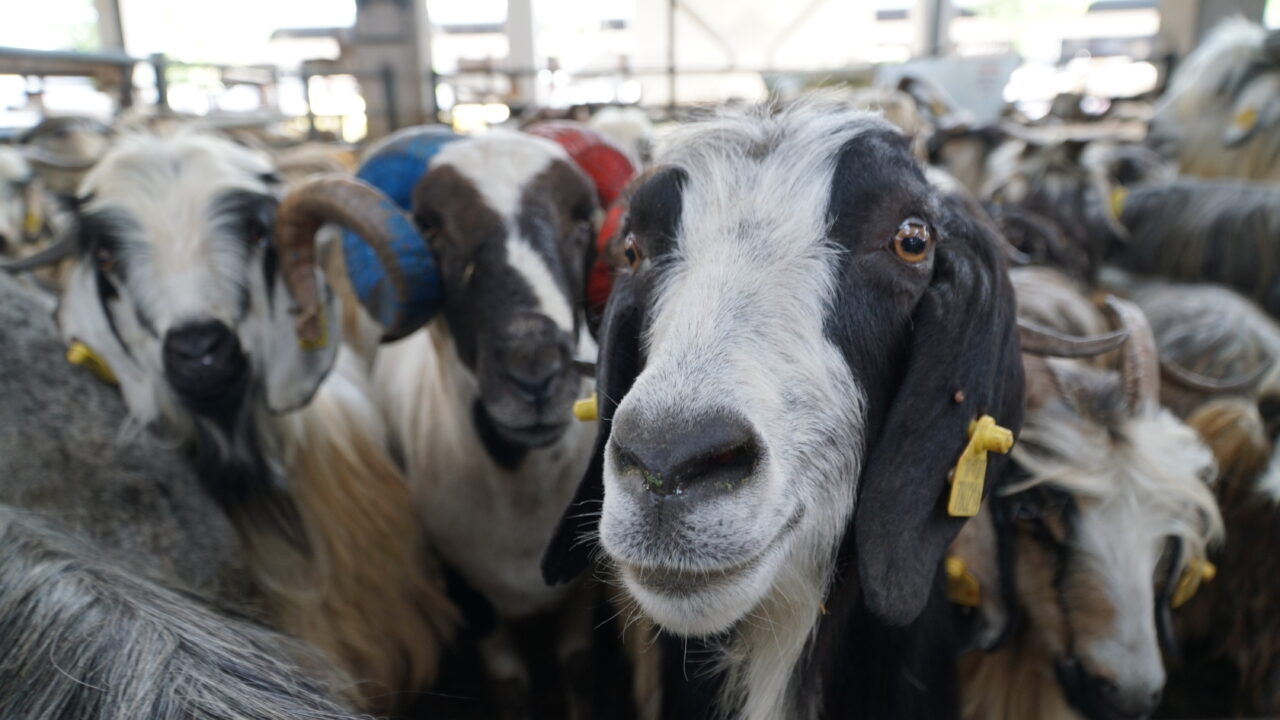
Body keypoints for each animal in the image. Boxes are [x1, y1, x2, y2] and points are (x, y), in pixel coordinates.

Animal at [270, 122, 640, 717]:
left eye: (583, 218)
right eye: (430, 227)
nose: (535, 374)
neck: (520, 498)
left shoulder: (581, 580)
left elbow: (578, 665)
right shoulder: (462, 587)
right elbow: (509, 681)